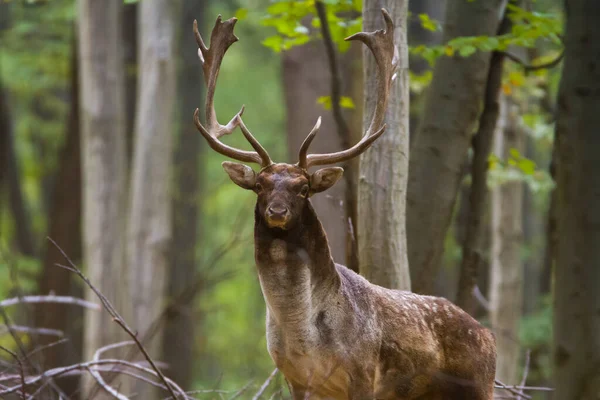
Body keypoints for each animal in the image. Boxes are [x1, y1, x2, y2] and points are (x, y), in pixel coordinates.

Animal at [192, 10, 496, 400]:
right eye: (259, 186)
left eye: (304, 188)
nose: (277, 212)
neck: (303, 338)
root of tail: (490, 337)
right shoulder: (294, 378)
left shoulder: (363, 371)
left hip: (478, 385)